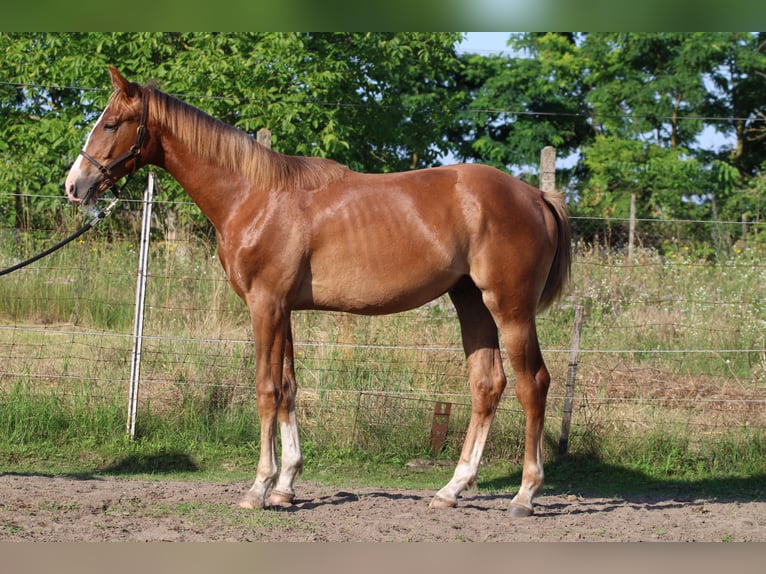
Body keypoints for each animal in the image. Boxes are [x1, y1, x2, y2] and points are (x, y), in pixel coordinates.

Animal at [66, 66, 568, 516]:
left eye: (111, 123)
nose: (74, 185)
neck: (256, 197)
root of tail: (536, 196)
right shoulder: (283, 309)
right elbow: (288, 387)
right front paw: (285, 485)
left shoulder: (265, 306)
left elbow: (266, 390)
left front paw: (258, 488)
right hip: (471, 303)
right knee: (487, 385)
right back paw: (451, 489)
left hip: (511, 308)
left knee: (532, 384)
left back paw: (525, 495)